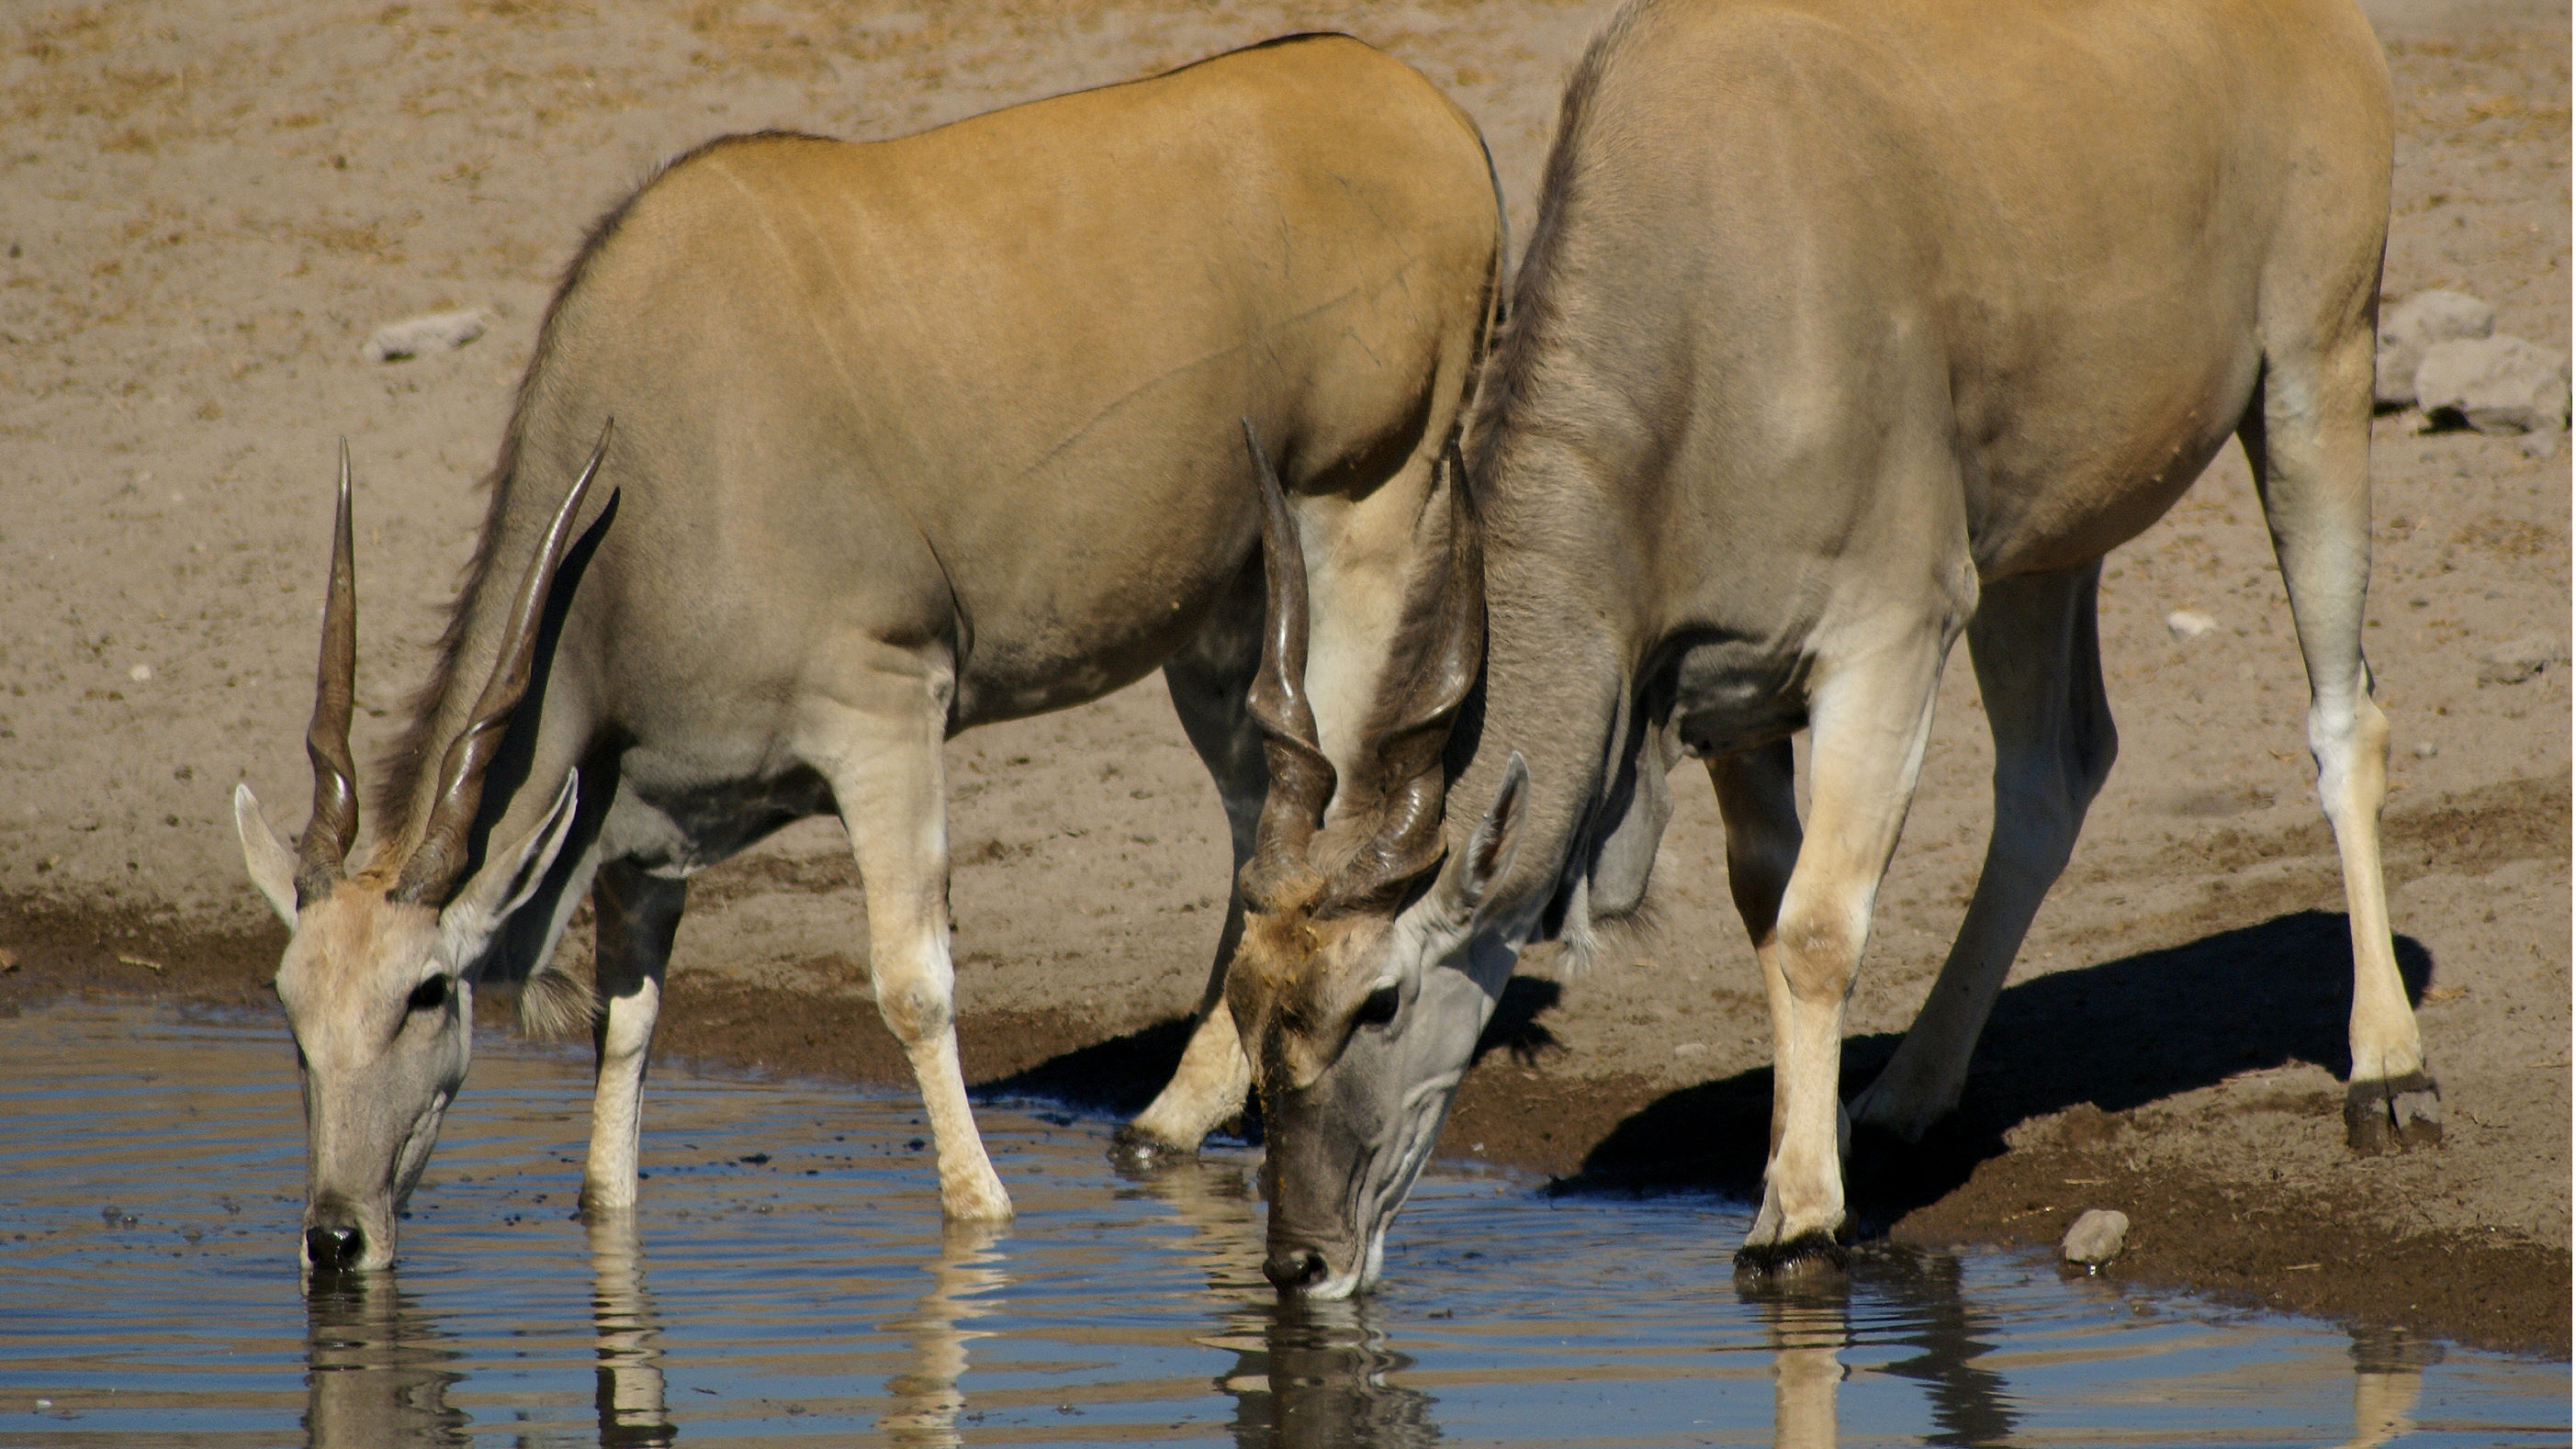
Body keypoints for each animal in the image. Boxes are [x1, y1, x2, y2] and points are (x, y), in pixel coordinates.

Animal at [237, 34, 1504, 1276]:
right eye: (291, 1011)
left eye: (426, 993)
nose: (335, 1235)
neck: (654, 459)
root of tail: (1432, 114)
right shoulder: (649, 824)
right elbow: (629, 1018)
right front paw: (605, 1203)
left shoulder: (886, 714)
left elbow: (912, 985)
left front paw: (982, 1207)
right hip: (1230, 607)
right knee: (1257, 818)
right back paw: (1170, 1119)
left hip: (1360, 517)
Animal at [1215, 0, 2421, 1297]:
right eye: (1246, 1002)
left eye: (1379, 1002)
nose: (1300, 1262)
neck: (1704, 292)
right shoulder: (1729, 698)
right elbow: (1768, 907)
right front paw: (1813, 1147)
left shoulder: (1887, 641)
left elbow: (1814, 928)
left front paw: (1796, 1214)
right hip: (2039, 549)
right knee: (2054, 774)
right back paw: (1902, 1098)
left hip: (2313, 379)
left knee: (2343, 717)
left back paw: (2389, 1068)